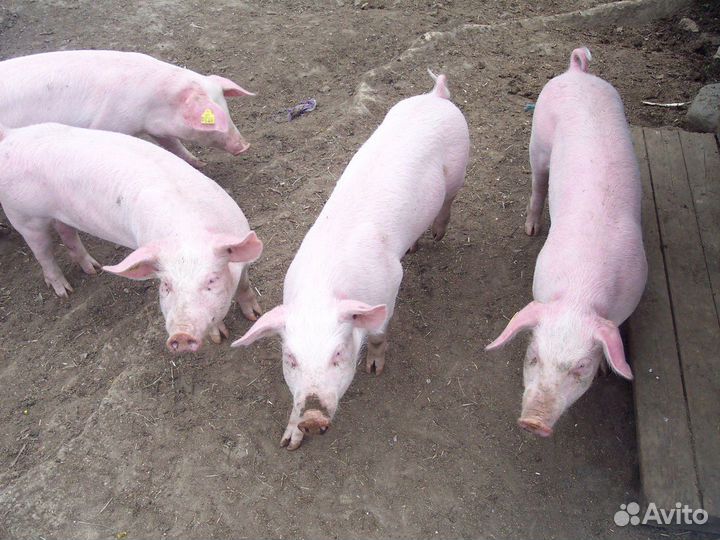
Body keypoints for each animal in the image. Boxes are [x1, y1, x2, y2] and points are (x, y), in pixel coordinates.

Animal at [0, 50, 254, 167]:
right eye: (211, 121)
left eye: (228, 111)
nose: (245, 146)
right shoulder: (109, 122)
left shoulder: (157, 128)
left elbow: (173, 144)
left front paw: (200, 164)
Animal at [0, 122, 263, 352]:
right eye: (165, 285)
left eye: (211, 280)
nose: (181, 335)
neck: (188, 232)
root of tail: (11, 135)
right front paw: (219, 337)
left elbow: (244, 286)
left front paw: (255, 314)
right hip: (24, 217)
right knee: (43, 253)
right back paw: (65, 291)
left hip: (61, 215)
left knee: (67, 233)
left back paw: (93, 269)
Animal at [231, 72, 469, 450]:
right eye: (291, 359)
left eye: (338, 354)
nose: (313, 418)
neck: (323, 287)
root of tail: (436, 96)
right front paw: (289, 441)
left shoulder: (389, 283)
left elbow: (378, 335)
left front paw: (374, 370)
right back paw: (416, 246)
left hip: (460, 165)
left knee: (449, 202)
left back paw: (437, 235)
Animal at [485, 48, 647, 437]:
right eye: (532, 357)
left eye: (581, 368)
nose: (533, 422)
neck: (580, 293)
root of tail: (577, 72)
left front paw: (606, 369)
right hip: (539, 140)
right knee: (537, 183)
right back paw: (530, 228)